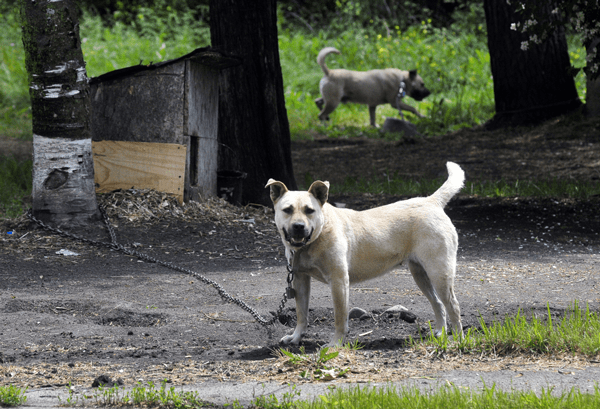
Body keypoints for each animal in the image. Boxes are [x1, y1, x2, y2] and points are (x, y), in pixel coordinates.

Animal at [266, 161, 464, 346]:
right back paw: (440, 332)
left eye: (309, 210)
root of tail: (432, 201)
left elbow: (340, 318)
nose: (299, 227)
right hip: (420, 274)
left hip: (439, 274)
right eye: (287, 210)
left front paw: (335, 344)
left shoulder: (338, 281)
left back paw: (458, 339)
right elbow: (302, 314)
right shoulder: (300, 280)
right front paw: (296, 337)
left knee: (453, 306)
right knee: (438, 303)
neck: (314, 239)